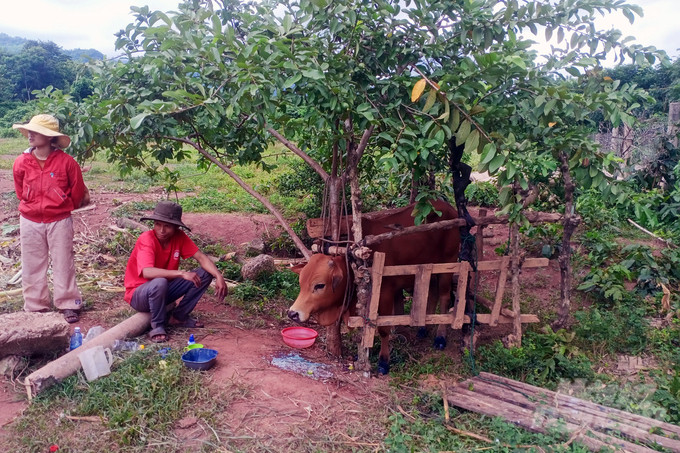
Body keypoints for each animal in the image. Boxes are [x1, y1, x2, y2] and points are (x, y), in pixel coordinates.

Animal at [290, 200, 460, 372]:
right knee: (432, 293)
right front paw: (364, 354)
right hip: (430, 268)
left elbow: (382, 329)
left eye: (320, 285)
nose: (293, 313)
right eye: (301, 283)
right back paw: (424, 330)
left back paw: (440, 337)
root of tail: (449, 206)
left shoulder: (385, 292)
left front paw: (383, 361)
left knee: (445, 297)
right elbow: (366, 327)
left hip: (449, 263)